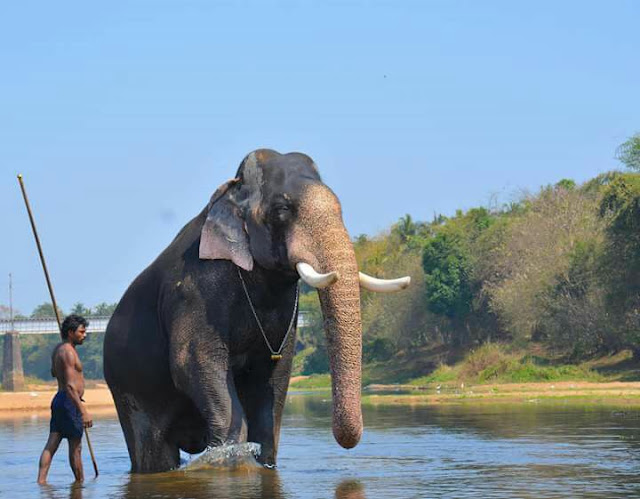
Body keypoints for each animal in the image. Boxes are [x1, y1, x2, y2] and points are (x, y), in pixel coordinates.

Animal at [102, 148, 408, 472]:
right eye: (282, 209)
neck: (233, 192)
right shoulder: (195, 291)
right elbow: (193, 361)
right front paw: (232, 461)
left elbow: (274, 374)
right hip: (127, 385)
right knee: (153, 452)